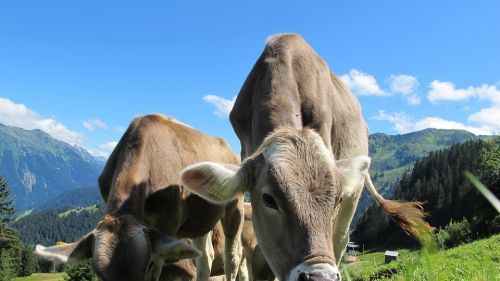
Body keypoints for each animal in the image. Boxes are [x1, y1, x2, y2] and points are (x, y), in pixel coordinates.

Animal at [35, 114, 244, 280]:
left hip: (235, 205)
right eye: (99, 274)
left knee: (233, 257)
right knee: (205, 257)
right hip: (201, 219)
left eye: (148, 265)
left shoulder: (168, 225)